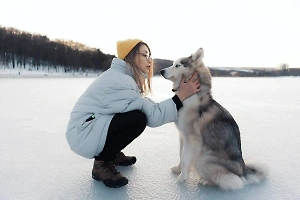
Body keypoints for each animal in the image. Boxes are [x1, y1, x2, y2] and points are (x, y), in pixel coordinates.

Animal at [161, 47, 268, 190]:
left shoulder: (192, 139)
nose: (161, 71)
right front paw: (178, 170)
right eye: (173, 64)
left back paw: (206, 181)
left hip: (202, 159)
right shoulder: (182, 136)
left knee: (232, 182)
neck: (189, 96)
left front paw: (182, 178)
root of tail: (244, 173)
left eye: (178, 65)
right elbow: (181, 156)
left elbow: (185, 158)